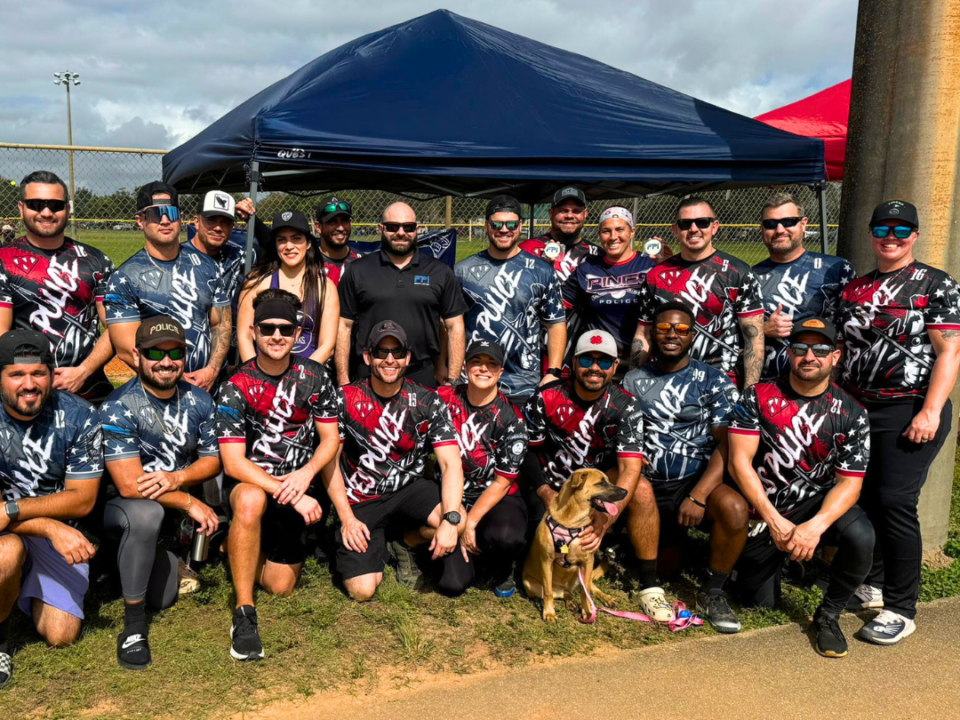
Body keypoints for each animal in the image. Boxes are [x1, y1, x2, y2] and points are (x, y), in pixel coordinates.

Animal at [520, 470, 628, 620]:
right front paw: (549, 612)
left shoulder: (588, 561)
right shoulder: (546, 560)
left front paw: (587, 610)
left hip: (581, 573)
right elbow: (548, 591)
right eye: (601, 482)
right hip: (530, 586)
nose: (626, 491)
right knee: (564, 594)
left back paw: (606, 598)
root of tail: (563, 588)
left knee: (591, 587)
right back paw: (570, 602)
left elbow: (586, 591)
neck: (572, 523)